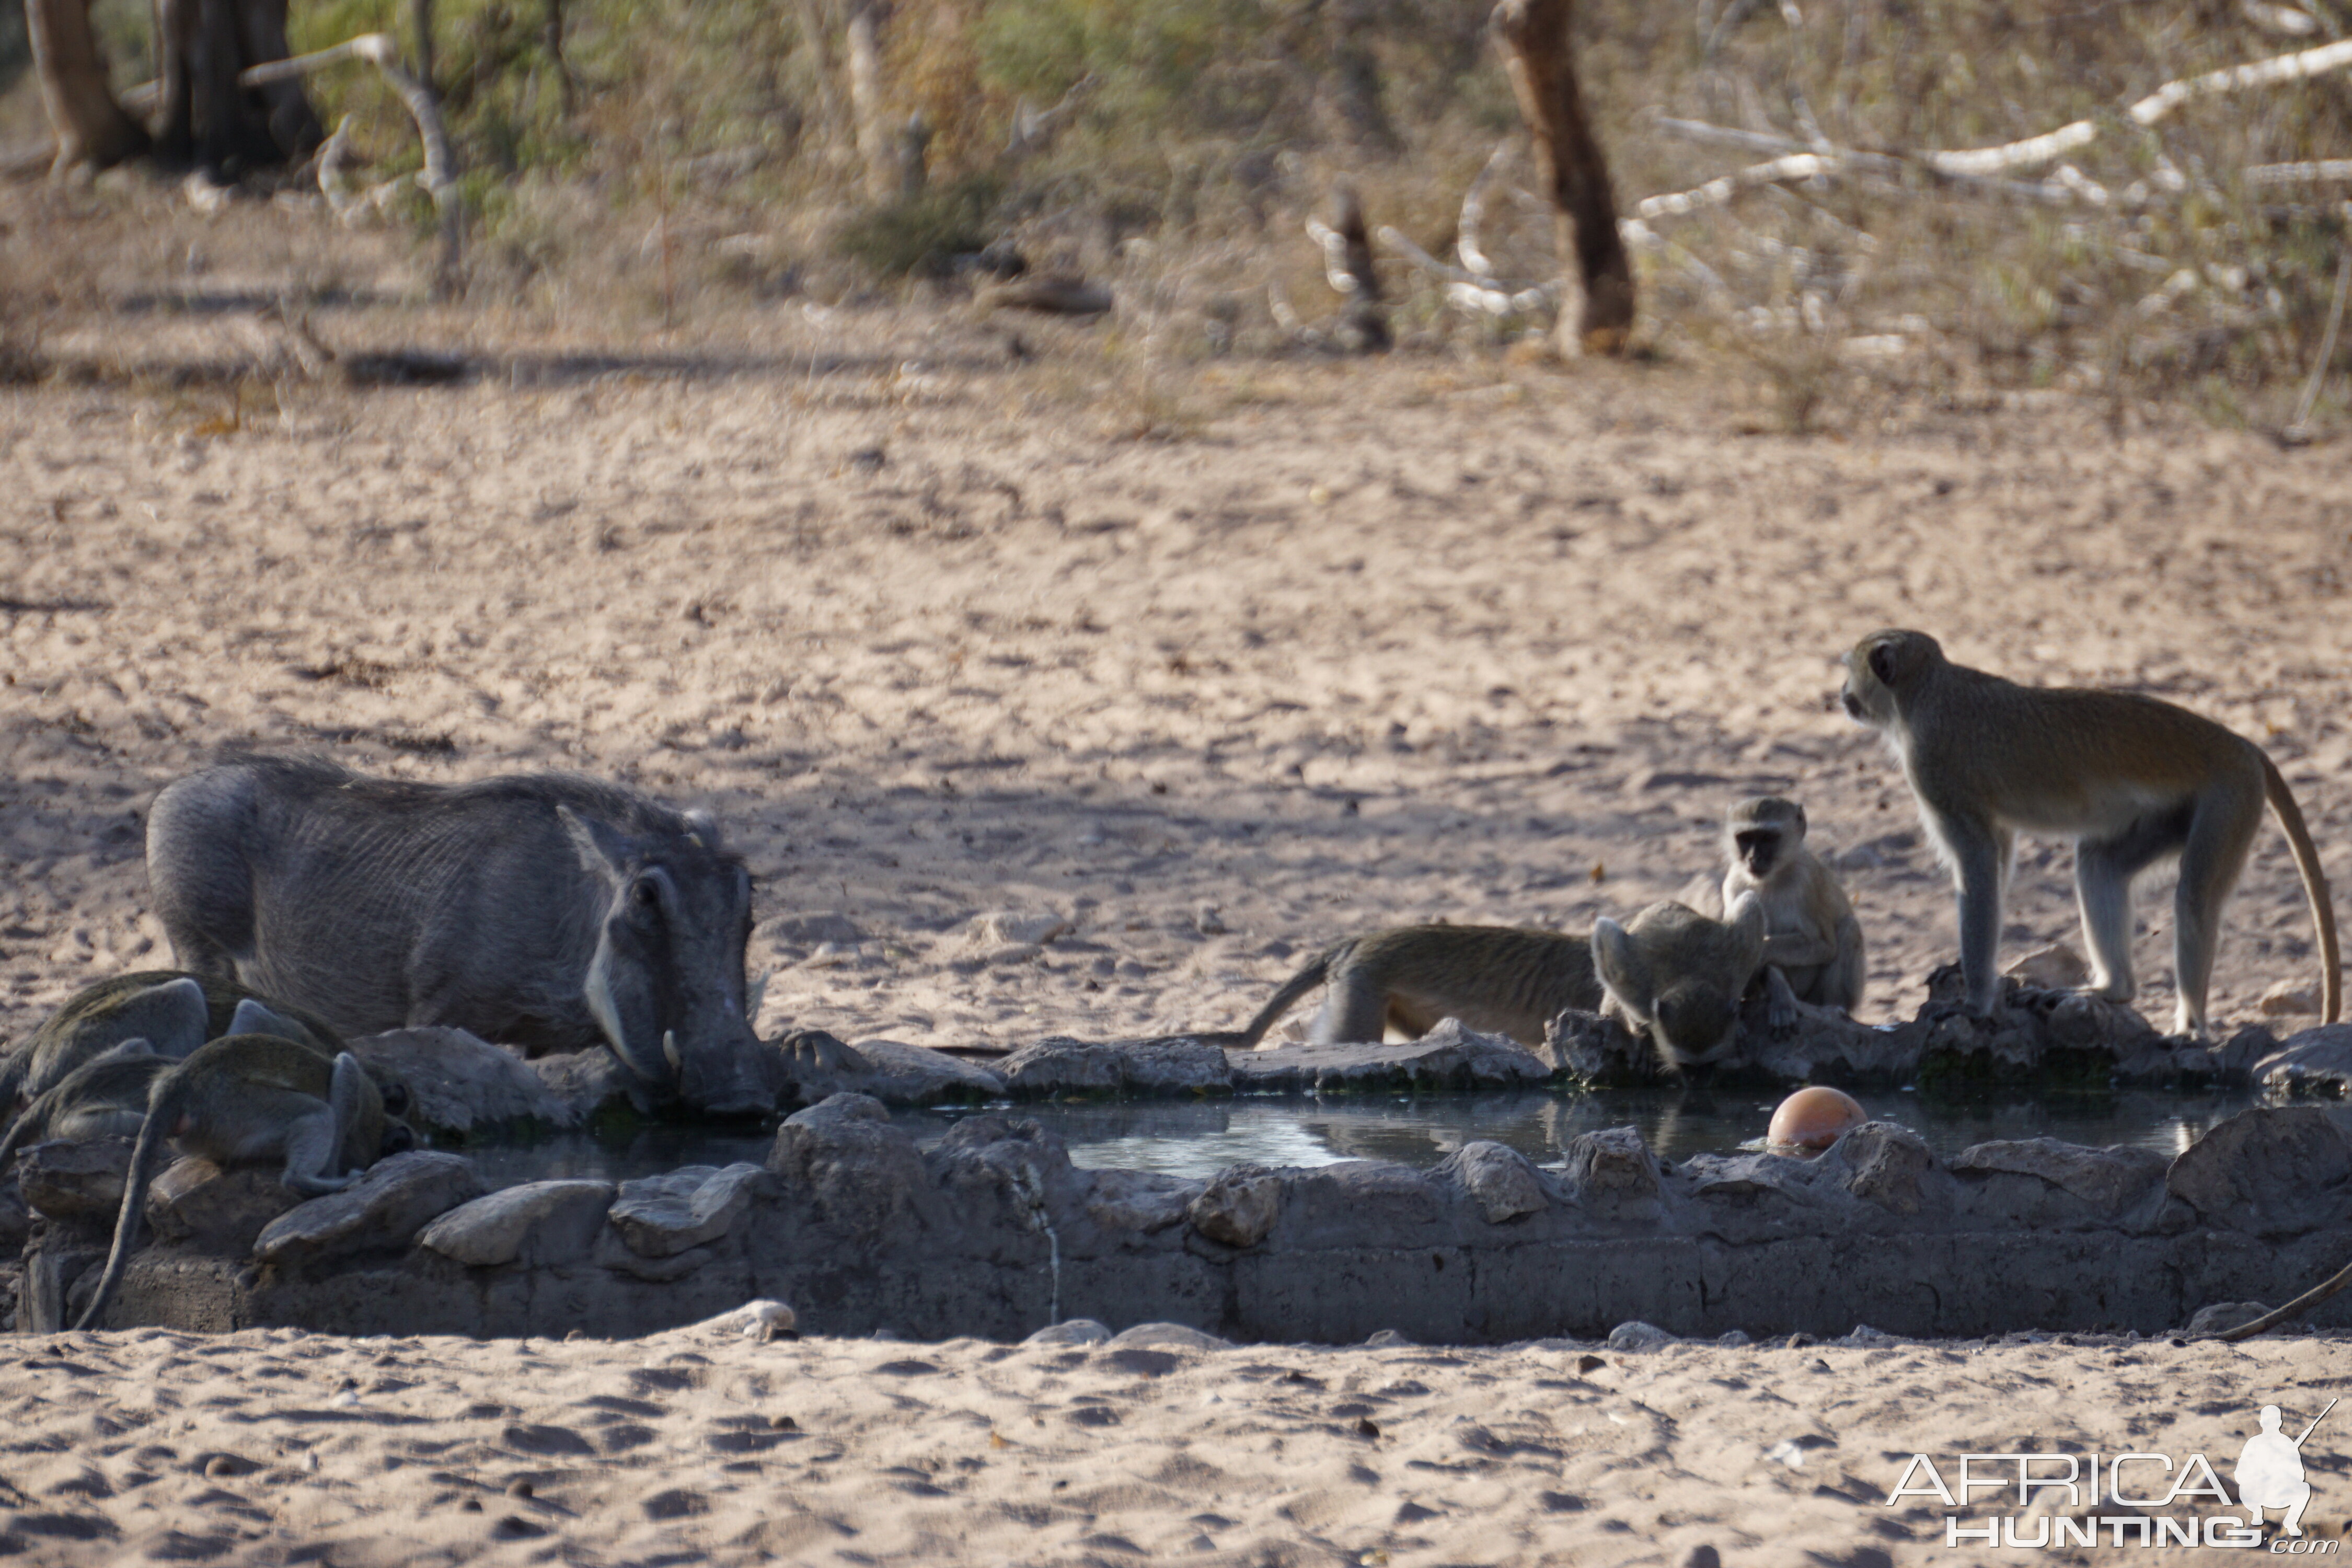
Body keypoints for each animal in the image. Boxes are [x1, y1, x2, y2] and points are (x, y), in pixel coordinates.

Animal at [1844, 630, 2343, 1034]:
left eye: (1850, 670)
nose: (1840, 694)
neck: (1926, 690)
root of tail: (2241, 744)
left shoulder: (1933, 768)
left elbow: (1979, 860)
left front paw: (1975, 1003)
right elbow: (1998, 854)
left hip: (2230, 797)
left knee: (2195, 897)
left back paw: (2190, 1028)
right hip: (2184, 809)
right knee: (2101, 865)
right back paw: (2114, 990)